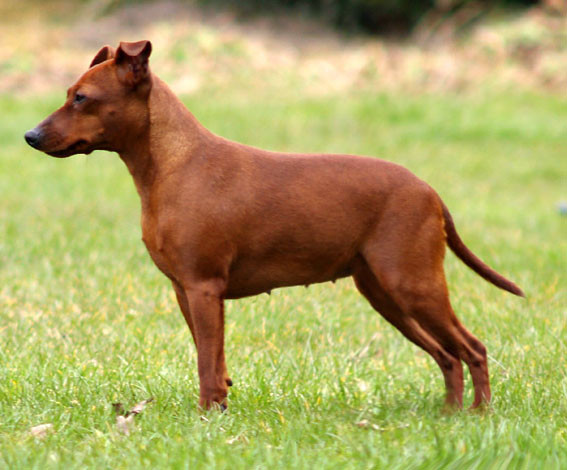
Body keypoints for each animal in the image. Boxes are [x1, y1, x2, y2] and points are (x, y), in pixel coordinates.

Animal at [25, 41, 524, 412]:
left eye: (81, 98)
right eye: (69, 93)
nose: (30, 136)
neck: (173, 163)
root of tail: (428, 189)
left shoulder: (204, 288)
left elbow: (207, 363)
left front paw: (206, 416)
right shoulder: (185, 291)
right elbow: (213, 358)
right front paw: (220, 408)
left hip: (414, 285)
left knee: (472, 348)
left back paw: (479, 415)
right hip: (385, 295)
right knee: (447, 356)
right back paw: (450, 414)